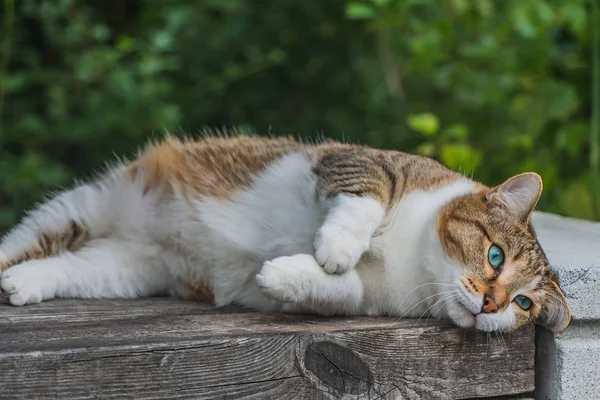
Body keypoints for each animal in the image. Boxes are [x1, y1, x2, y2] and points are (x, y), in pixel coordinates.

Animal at [1, 134, 572, 332]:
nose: (492, 305)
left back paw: (24, 285)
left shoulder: (371, 300)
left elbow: (341, 290)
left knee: (65, 268)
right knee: (23, 241)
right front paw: (338, 246)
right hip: (82, 207)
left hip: (125, 268)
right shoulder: (363, 161)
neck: (414, 259)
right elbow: (368, 196)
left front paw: (282, 275)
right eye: (495, 257)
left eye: (524, 304)